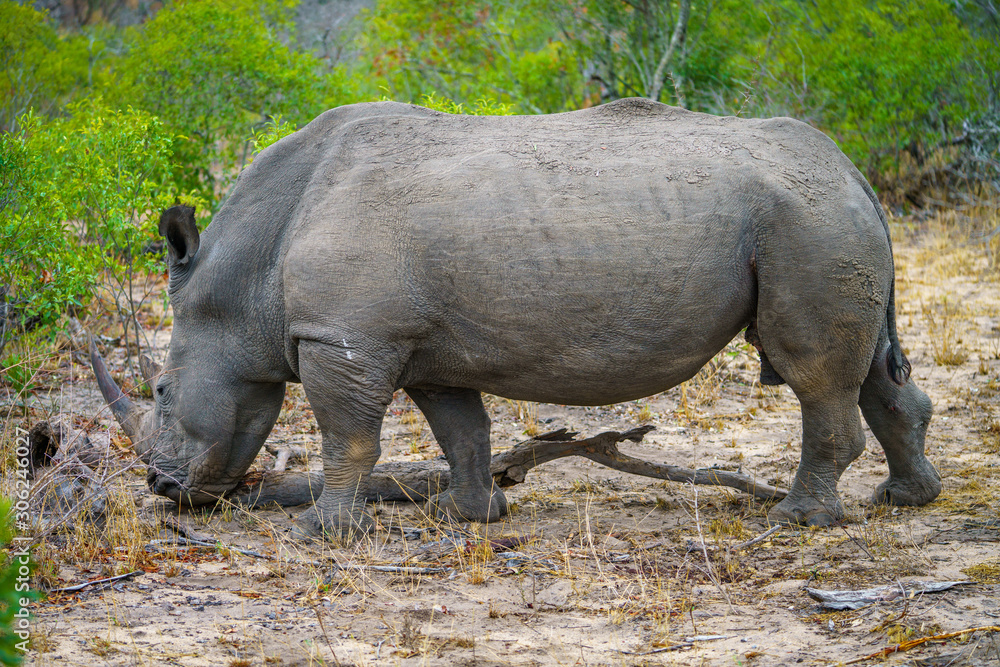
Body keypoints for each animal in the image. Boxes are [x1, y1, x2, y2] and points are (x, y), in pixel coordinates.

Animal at [90, 98, 941, 539]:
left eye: (161, 391)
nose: (163, 486)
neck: (246, 273)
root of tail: (853, 171)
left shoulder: (345, 338)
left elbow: (347, 437)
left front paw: (325, 532)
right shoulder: (422, 345)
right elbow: (461, 428)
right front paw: (473, 513)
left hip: (806, 222)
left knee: (811, 373)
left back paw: (799, 520)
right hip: (821, 221)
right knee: (868, 367)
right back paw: (904, 499)